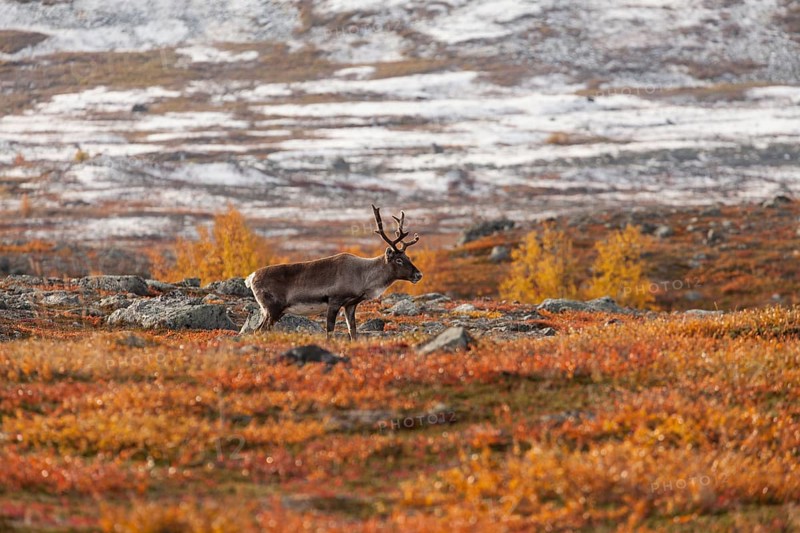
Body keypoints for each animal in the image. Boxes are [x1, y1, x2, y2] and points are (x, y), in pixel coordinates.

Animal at [244, 204, 423, 340]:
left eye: (408, 256)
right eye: (399, 260)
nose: (418, 275)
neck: (363, 277)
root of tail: (250, 277)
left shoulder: (351, 304)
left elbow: (353, 331)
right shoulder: (334, 301)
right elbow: (330, 331)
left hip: (275, 311)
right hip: (272, 308)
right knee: (258, 331)